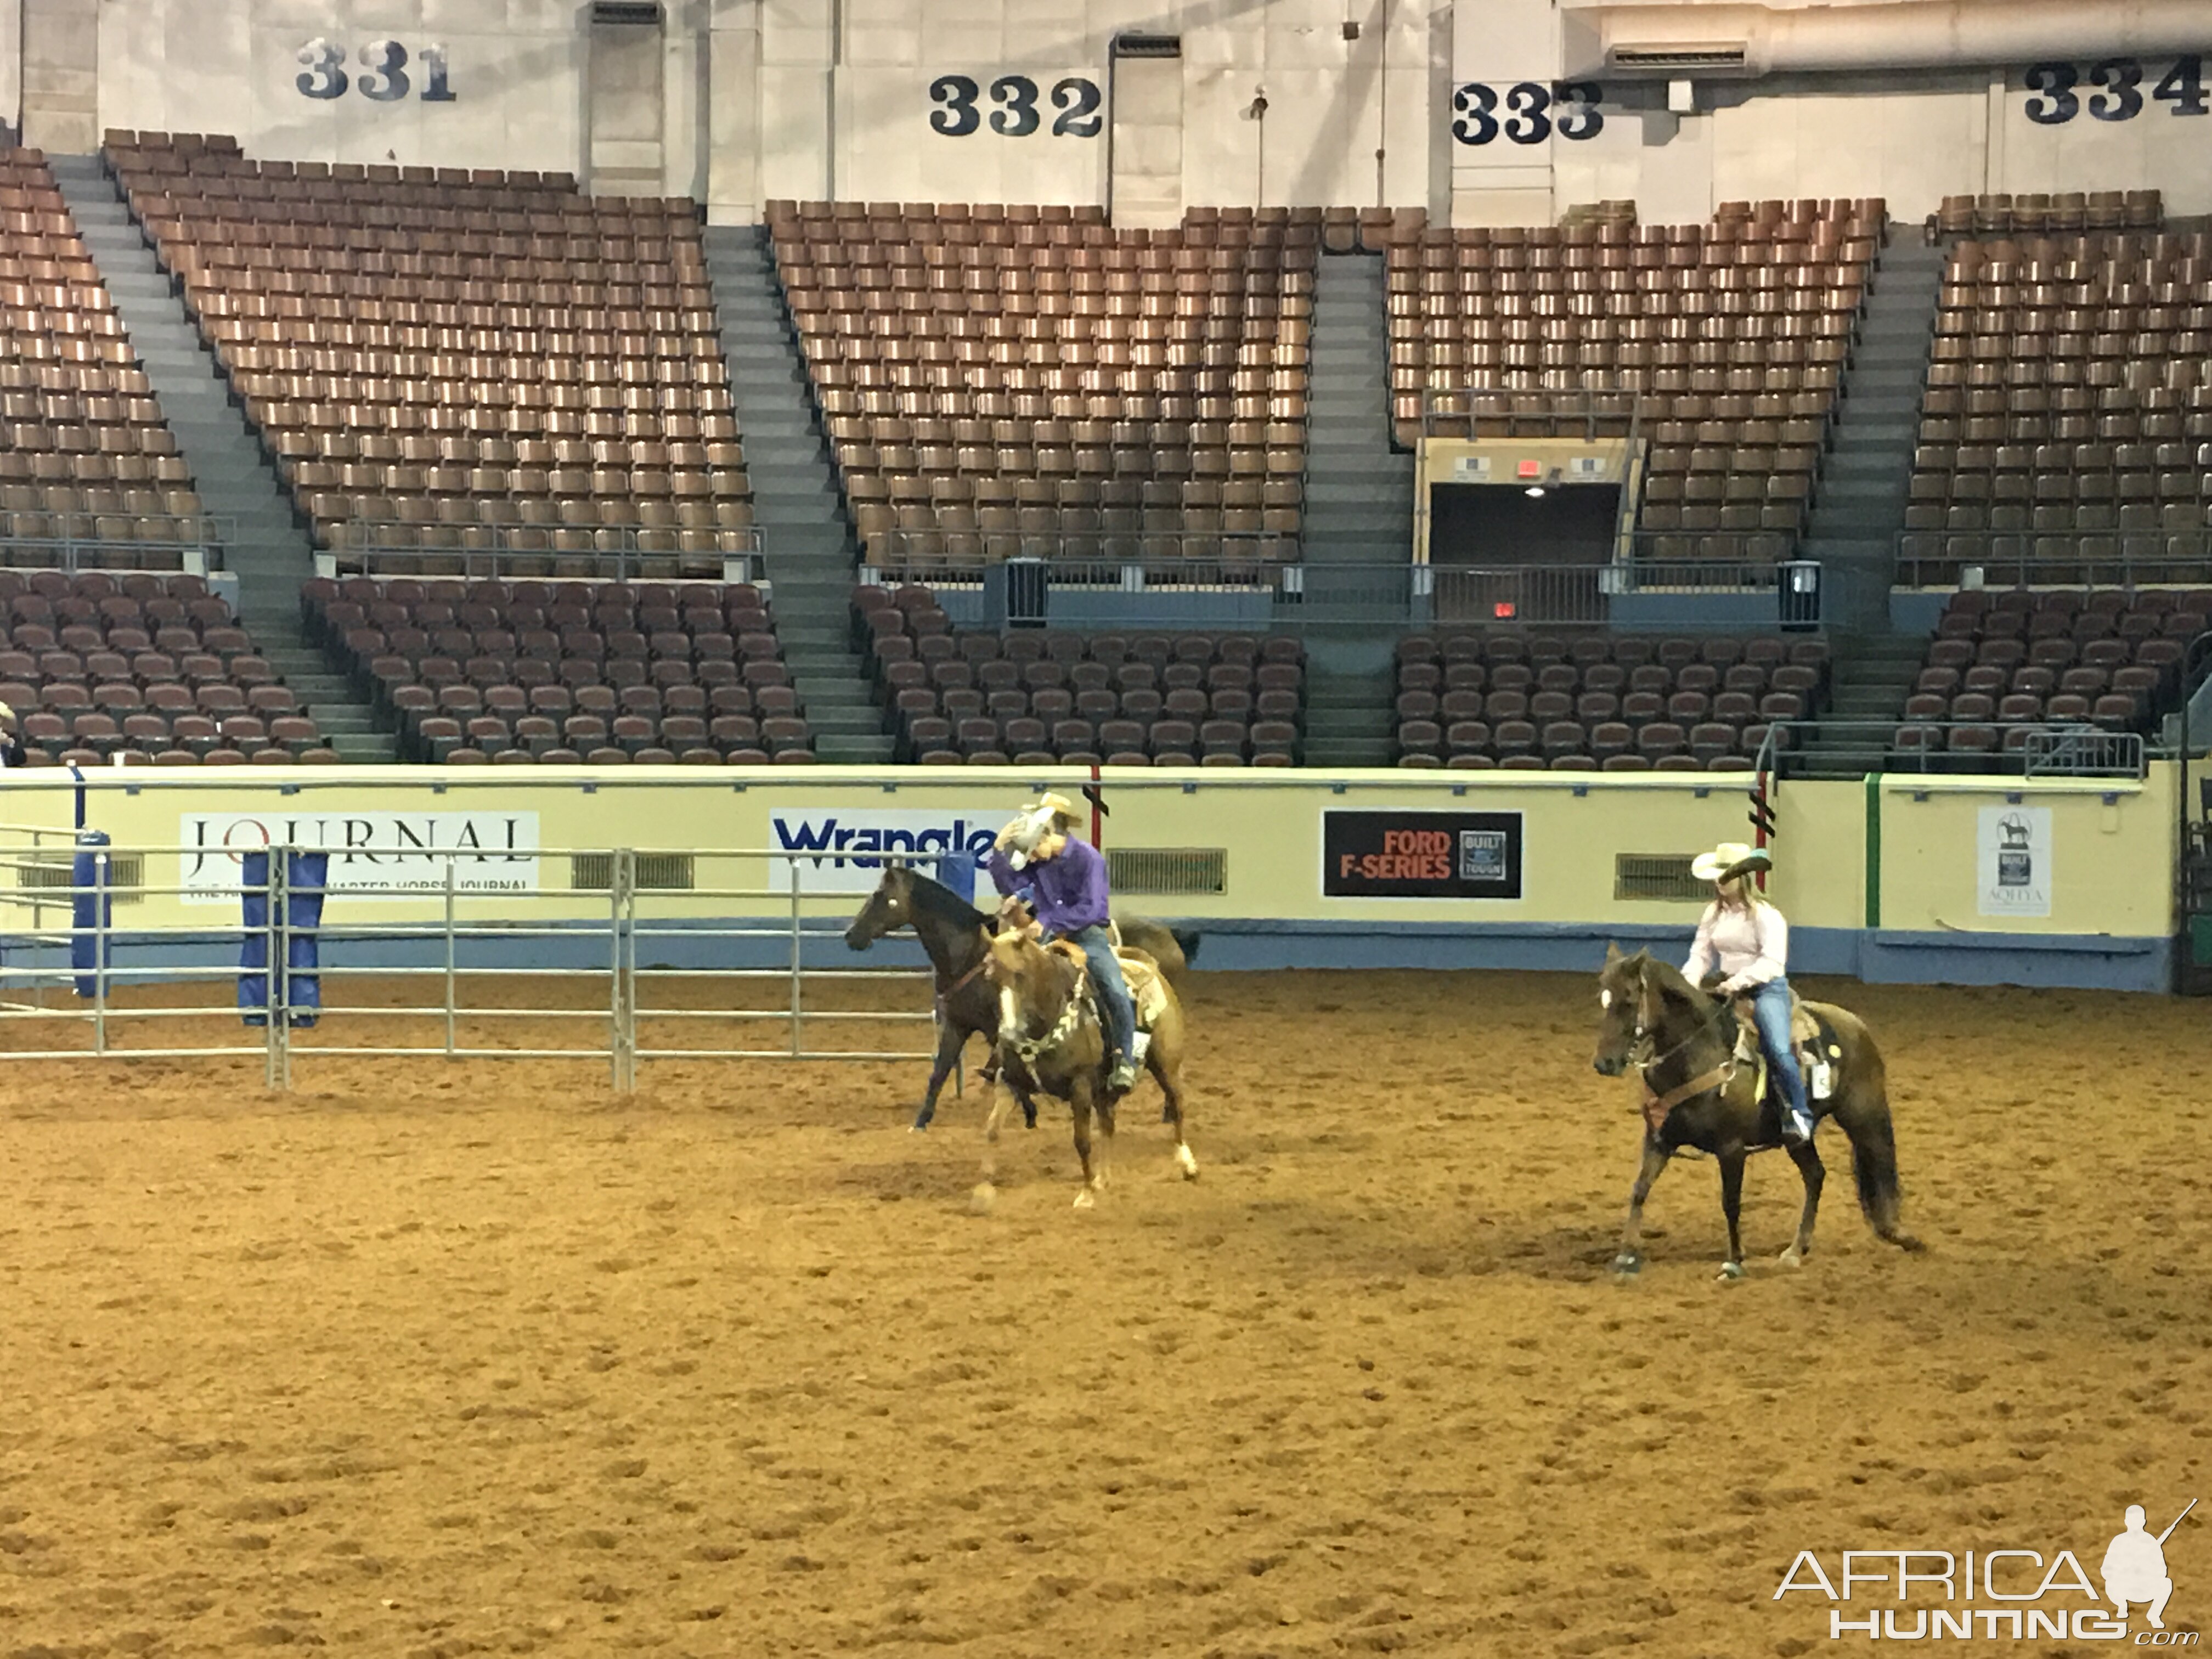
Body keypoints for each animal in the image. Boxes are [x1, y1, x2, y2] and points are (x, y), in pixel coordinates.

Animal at [840, 862, 1194, 1141]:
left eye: (882, 898)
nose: (851, 935)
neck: (972, 956)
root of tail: (1167, 938)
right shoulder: (957, 1024)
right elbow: (939, 1073)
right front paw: (921, 1122)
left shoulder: (998, 1028)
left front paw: (1030, 1113)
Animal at [982, 938, 1203, 1212]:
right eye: (990, 979)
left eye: (1020, 975)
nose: (1009, 1035)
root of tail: (1148, 966)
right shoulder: (1010, 1084)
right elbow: (992, 1129)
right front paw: (984, 1187)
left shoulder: (1081, 1086)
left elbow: (1082, 1141)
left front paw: (1085, 1194)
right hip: (1104, 1089)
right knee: (1109, 1124)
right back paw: (1103, 1179)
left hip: (1167, 1066)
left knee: (1178, 1106)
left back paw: (1187, 1164)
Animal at [1593, 946, 1920, 1283]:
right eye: (1603, 999)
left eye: (1629, 1000)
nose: (1604, 1063)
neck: (1699, 1057)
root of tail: (1857, 1024)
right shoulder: (1660, 1140)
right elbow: (1639, 1191)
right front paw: (1626, 1254)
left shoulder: (1731, 1148)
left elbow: (1731, 1203)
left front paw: (1734, 1261)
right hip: (1797, 1137)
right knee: (1815, 1175)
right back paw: (1795, 1250)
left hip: (1864, 1116)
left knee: (1881, 1162)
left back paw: (1897, 1233)